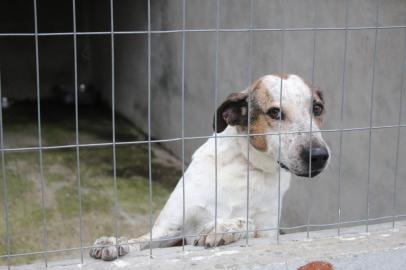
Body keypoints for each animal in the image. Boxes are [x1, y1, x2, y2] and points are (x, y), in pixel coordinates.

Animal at [89, 73, 330, 260]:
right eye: (275, 113)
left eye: (317, 108)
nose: (320, 156)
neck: (245, 167)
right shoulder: (170, 229)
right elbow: (140, 239)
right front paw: (115, 242)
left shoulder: (267, 233)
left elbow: (248, 221)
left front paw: (222, 227)